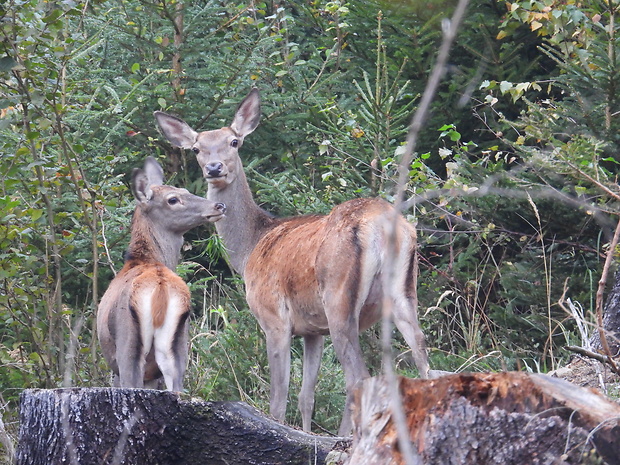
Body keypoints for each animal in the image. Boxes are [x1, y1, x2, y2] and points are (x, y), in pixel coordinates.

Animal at [99, 157, 228, 392]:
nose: (219, 205)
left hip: (127, 345)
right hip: (178, 345)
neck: (145, 259)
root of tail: (160, 287)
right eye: (174, 198)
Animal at [154, 91, 432, 436]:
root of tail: (383, 225)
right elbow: (306, 396)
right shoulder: (313, 329)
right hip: (404, 290)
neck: (249, 248)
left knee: (358, 377)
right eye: (196, 148)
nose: (215, 168)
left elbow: (279, 397)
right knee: (421, 356)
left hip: (339, 296)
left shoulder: (273, 316)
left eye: (234, 142)